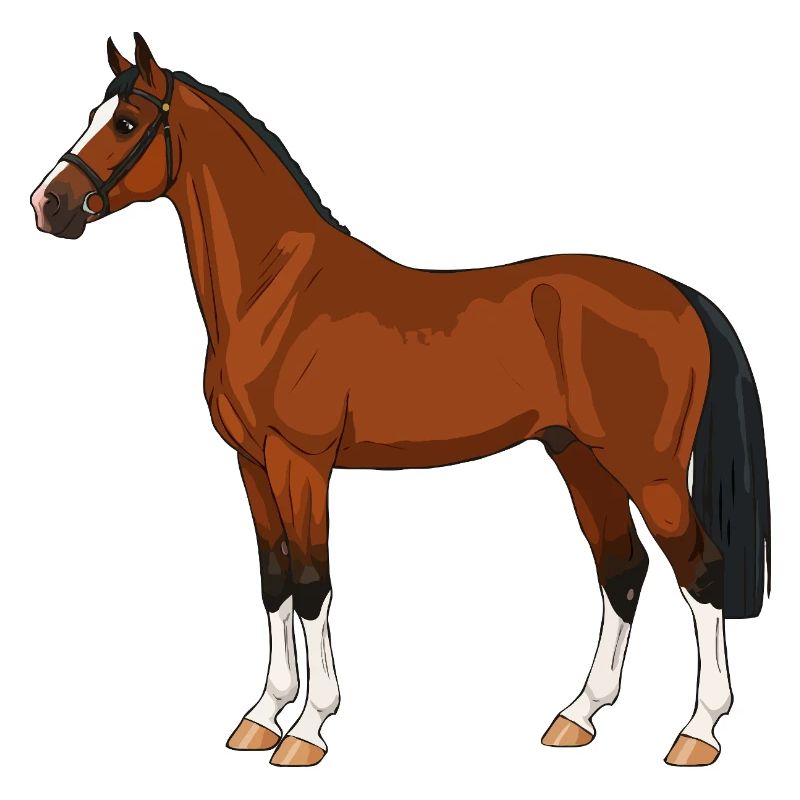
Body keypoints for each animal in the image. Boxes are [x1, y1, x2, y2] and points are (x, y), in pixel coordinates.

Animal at [30, 33, 770, 768]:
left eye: (127, 124)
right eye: (93, 115)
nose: (47, 204)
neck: (276, 292)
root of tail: (680, 295)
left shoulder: (302, 462)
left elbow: (311, 583)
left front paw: (307, 729)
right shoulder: (251, 463)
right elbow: (273, 581)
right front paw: (262, 716)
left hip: (648, 468)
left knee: (700, 571)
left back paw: (697, 732)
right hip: (578, 456)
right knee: (623, 569)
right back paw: (578, 715)